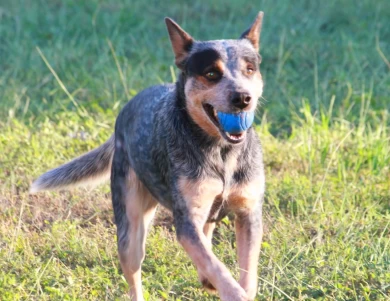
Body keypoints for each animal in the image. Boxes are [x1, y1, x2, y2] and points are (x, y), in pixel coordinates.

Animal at [31, 11, 266, 300]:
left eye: (250, 69)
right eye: (211, 73)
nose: (243, 98)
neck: (222, 153)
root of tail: (123, 114)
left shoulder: (248, 212)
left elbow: (247, 270)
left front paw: (237, 286)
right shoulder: (187, 220)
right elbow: (216, 265)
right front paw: (231, 290)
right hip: (130, 224)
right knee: (134, 271)